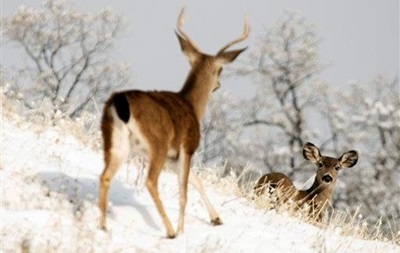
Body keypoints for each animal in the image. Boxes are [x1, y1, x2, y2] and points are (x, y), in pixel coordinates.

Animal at [99, 6, 250, 238]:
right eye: (220, 69)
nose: (218, 85)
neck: (192, 106)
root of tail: (119, 101)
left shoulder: (173, 157)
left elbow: (197, 181)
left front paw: (216, 218)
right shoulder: (187, 148)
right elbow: (184, 192)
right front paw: (182, 229)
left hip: (116, 142)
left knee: (105, 176)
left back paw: (103, 226)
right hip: (157, 143)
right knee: (151, 182)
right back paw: (170, 231)